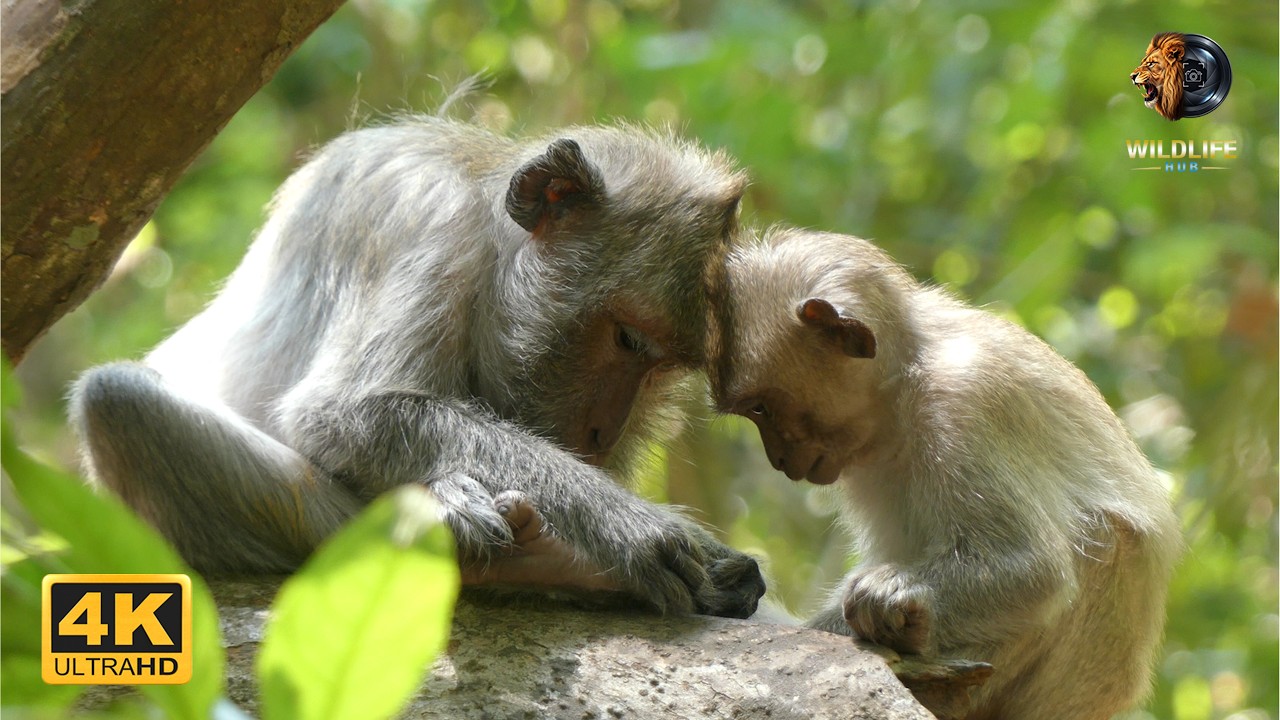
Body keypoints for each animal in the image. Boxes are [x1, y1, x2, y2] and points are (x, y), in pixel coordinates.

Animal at [70, 116, 766, 619]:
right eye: (626, 340)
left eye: (659, 368)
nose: (603, 432)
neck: (485, 226)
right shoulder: (430, 223)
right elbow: (342, 415)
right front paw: (630, 528)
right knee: (117, 399)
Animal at [710, 227, 1181, 718]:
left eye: (761, 408)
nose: (778, 457)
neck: (903, 383)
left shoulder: (964, 402)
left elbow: (1034, 569)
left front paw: (891, 600)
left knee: (1103, 537)